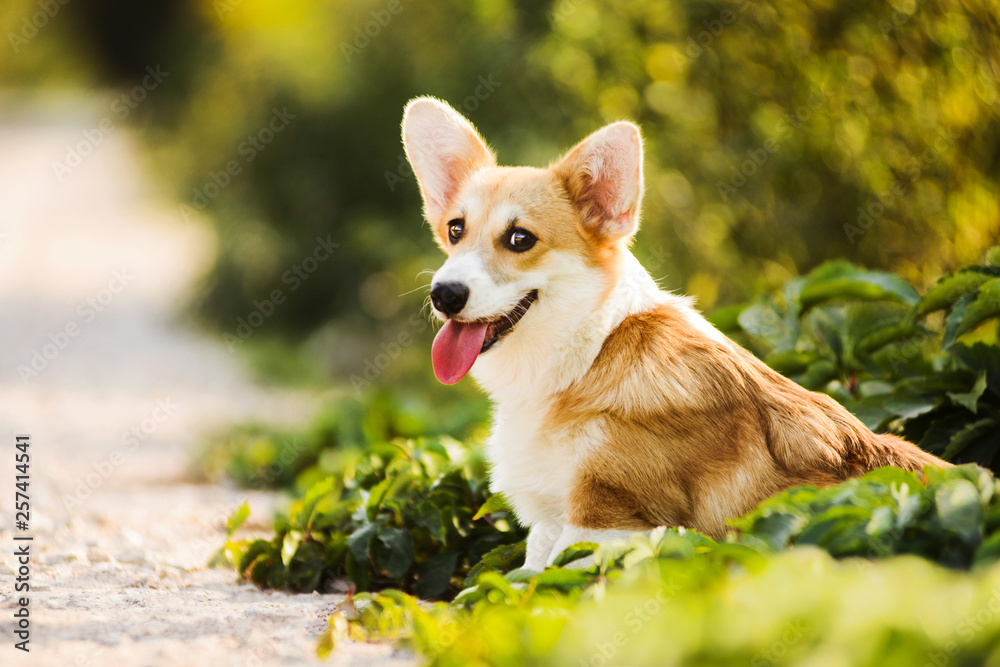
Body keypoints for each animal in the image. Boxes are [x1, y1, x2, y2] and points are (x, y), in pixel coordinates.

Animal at [400, 96, 944, 572]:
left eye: (519, 239)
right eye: (455, 230)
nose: (444, 295)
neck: (587, 356)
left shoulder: (604, 523)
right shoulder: (548, 525)